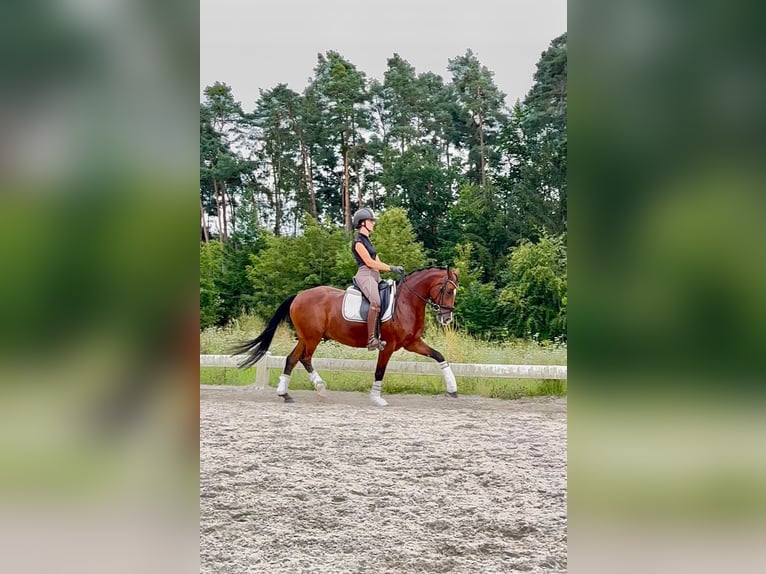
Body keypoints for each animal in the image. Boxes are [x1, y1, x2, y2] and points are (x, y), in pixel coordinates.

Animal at [232, 268, 462, 408]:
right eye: (448, 290)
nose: (447, 318)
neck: (406, 302)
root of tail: (298, 295)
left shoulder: (412, 343)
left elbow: (439, 356)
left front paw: (452, 389)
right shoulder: (388, 346)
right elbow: (379, 371)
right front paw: (377, 398)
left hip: (306, 337)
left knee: (293, 359)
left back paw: (286, 394)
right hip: (312, 338)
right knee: (304, 358)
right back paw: (318, 388)